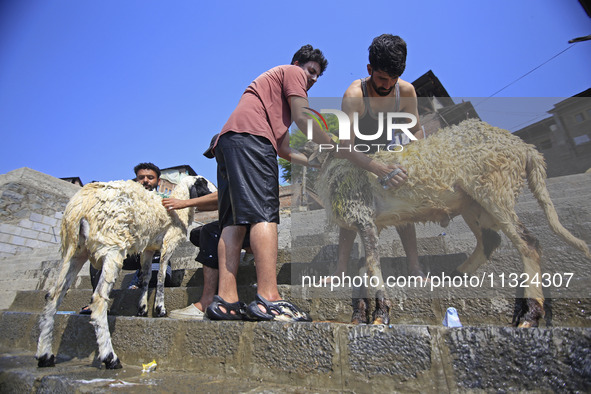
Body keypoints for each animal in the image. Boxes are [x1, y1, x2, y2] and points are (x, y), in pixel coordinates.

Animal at [34, 175, 210, 370]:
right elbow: (161, 276)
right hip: (112, 246)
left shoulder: (148, 248)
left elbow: (146, 276)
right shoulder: (168, 244)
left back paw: (45, 356)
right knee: (98, 300)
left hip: (74, 250)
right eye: (203, 183)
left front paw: (142, 308)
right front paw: (160, 309)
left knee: (53, 296)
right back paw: (110, 358)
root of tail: (81, 205)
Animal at [320, 118, 591, 328]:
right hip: (472, 200)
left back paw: (529, 316)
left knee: (529, 244)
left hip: (495, 188)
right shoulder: (361, 220)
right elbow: (362, 267)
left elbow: (372, 266)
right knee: (491, 239)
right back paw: (457, 274)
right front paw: (359, 313)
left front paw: (380, 315)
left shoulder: (364, 217)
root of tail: (526, 148)